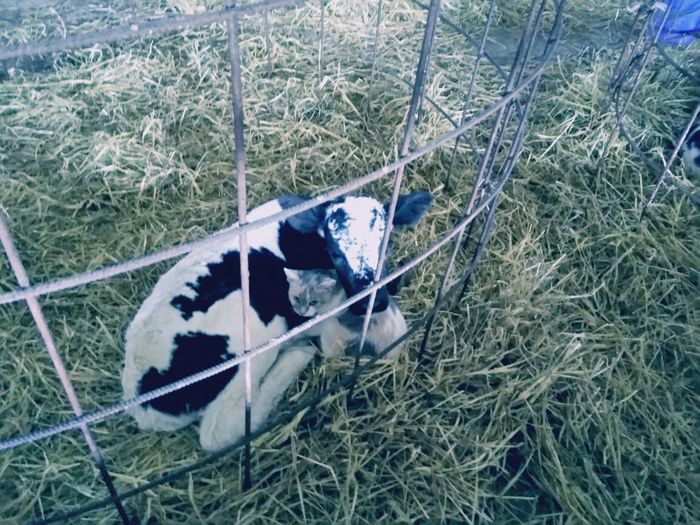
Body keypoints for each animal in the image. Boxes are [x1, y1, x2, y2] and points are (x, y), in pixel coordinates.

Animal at [120, 191, 432, 450]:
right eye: (334, 252)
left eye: (387, 243)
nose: (372, 301)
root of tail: (141, 400)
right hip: (253, 334)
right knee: (219, 430)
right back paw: (297, 354)